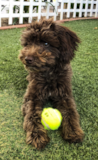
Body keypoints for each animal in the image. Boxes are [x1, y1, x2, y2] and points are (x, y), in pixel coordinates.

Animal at [18, 18, 84, 149]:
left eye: (46, 43)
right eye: (27, 44)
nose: (27, 59)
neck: (48, 74)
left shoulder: (64, 95)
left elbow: (70, 112)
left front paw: (74, 132)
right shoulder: (32, 97)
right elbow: (31, 114)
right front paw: (37, 136)